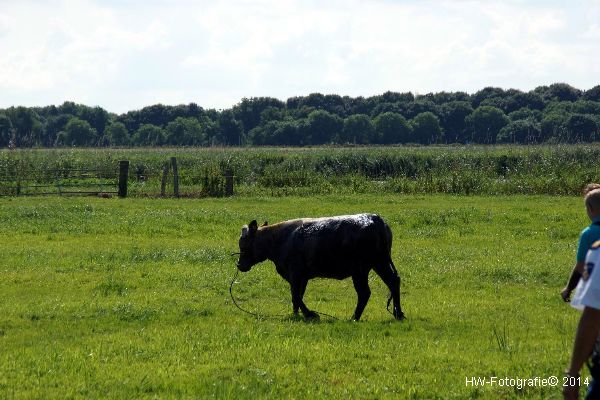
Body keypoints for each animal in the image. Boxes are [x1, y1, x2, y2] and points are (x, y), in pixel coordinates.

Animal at [237, 214, 406, 320]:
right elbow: (297, 296)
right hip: (379, 263)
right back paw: (398, 314)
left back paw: (354, 318)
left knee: (364, 292)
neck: (280, 239)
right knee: (393, 282)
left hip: (361, 270)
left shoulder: (295, 273)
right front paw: (296, 314)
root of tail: (375, 219)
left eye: (243, 245)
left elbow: (296, 295)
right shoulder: (302, 277)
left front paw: (310, 314)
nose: (239, 265)